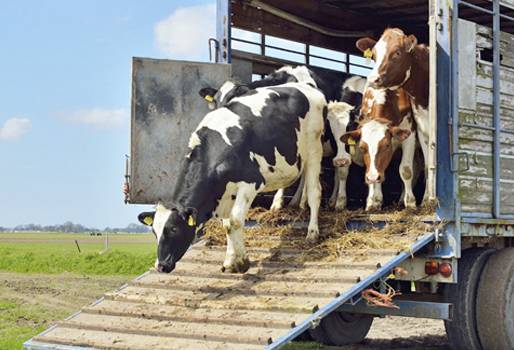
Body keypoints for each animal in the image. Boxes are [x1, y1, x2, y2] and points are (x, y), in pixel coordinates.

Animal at [138, 81, 326, 274]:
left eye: (174, 229)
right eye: (154, 232)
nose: (160, 265)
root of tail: (305, 86)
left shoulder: (251, 182)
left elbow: (235, 221)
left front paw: (242, 262)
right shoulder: (225, 193)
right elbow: (227, 224)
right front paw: (230, 260)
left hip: (314, 148)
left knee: (315, 192)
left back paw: (312, 233)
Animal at [354, 28, 430, 204]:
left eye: (397, 52)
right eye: (374, 55)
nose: (373, 79)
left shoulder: (411, 132)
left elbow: (406, 169)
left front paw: (412, 203)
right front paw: (373, 200)